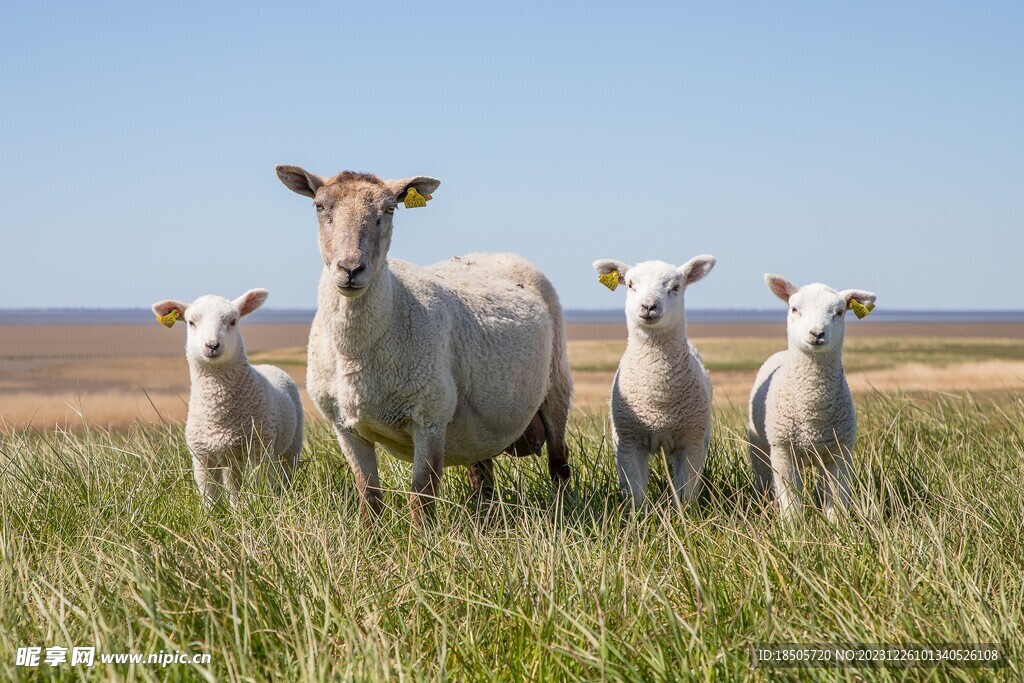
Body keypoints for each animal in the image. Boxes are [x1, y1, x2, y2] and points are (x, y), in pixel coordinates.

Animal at [150, 288, 303, 507]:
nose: (212, 345)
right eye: (191, 322)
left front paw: (257, 507)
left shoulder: (259, 448)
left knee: (285, 473)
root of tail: (268, 365)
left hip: (290, 445)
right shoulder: (202, 456)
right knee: (234, 484)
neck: (219, 411)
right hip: (232, 457)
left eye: (233, 321)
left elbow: (258, 485)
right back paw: (236, 507)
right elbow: (209, 496)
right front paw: (214, 514)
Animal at [276, 163, 573, 524]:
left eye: (389, 209)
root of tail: (493, 253)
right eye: (320, 207)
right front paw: (369, 536)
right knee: (482, 475)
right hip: (480, 426)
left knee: (559, 463)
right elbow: (368, 495)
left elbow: (422, 494)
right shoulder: (344, 426)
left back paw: (562, 515)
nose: (350, 269)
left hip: (556, 385)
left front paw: (422, 538)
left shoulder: (429, 417)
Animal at [593, 255, 712, 507]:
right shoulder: (628, 443)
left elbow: (686, 493)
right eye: (630, 285)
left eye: (675, 287)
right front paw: (639, 516)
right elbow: (635, 494)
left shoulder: (692, 442)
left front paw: (684, 515)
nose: (648, 306)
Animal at [749, 274, 876, 520]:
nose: (816, 334)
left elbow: (836, 499)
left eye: (839, 312)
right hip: (759, 446)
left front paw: (836, 527)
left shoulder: (840, 452)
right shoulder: (783, 452)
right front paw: (793, 528)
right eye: (794, 309)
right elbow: (790, 503)